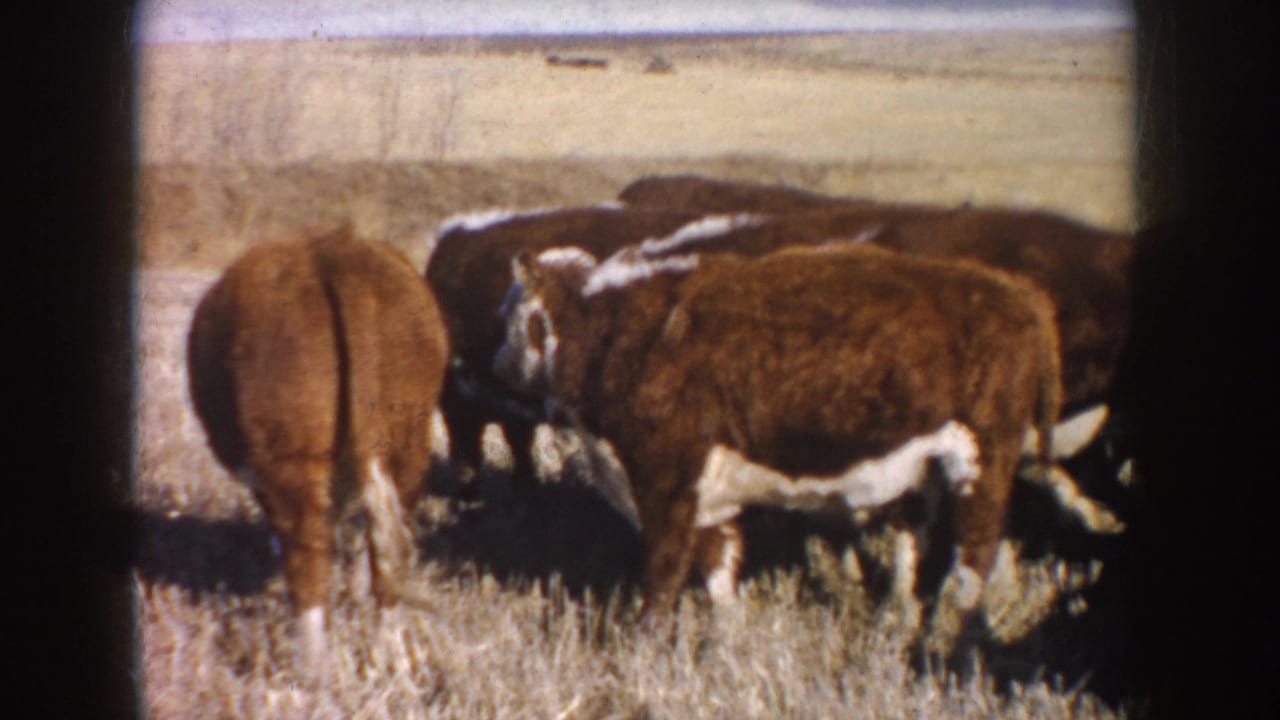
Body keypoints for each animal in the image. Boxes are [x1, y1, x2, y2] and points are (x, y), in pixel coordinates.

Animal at [187, 225, 450, 678]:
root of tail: (335, 252)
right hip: (410, 438)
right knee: (390, 546)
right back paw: (389, 655)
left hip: (289, 453)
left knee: (307, 552)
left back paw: (314, 670)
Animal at [492, 241, 1064, 657]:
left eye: (511, 311)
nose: (497, 364)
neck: (616, 332)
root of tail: (1017, 292)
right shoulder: (708, 494)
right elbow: (717, 570)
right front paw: (729, 642)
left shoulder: (667, 480)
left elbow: (664, 572)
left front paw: (643, 650)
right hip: (923, 470)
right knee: (916, 546)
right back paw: (895, 624)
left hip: (982, 460)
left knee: (974, 559)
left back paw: (953, 647)